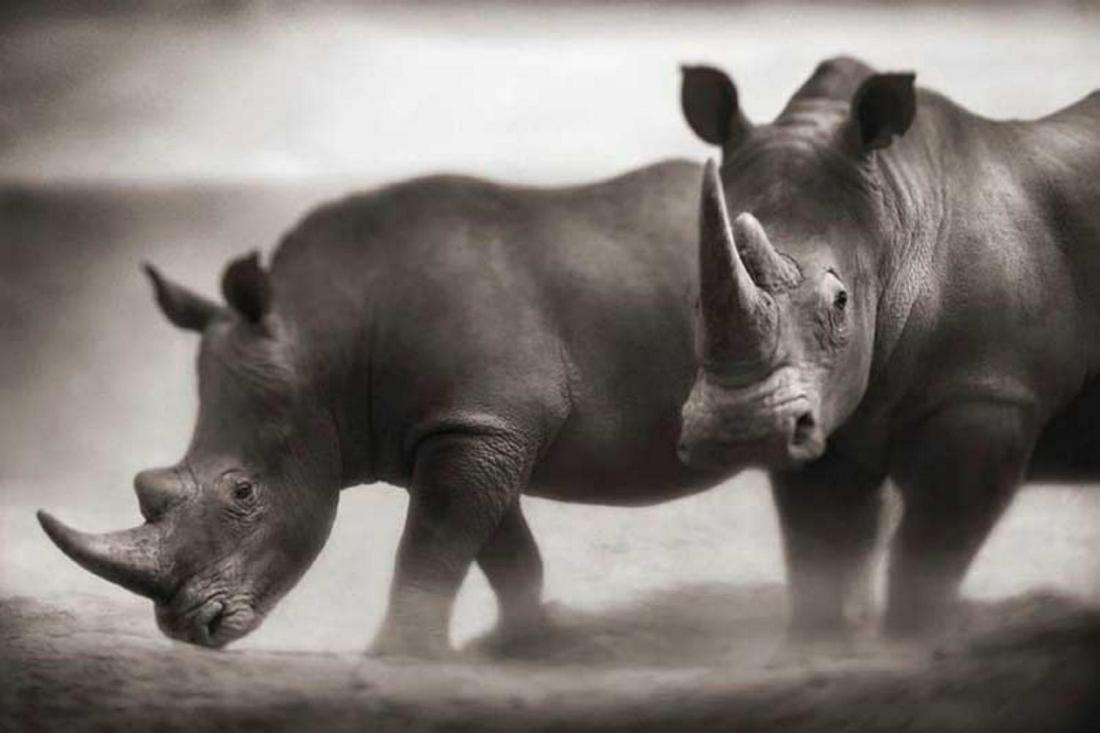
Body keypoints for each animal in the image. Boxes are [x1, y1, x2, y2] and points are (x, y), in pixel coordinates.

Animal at [36, 75, 756, 653]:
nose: (187, 629)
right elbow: (499, 549)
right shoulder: (469, 426)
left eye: (243, 492)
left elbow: (431, 548)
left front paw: (398, 657)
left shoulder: (480, 424)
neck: (323, 338)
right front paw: (521, 643)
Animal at [677, 56, 1100, 638]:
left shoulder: (987, 393)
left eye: (840, 302)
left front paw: (913, 641)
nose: (741, 432)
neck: (894, 221)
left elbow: (929, 554)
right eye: (695, 300)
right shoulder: (825, 402)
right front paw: (821, 641)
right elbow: (822, 546)